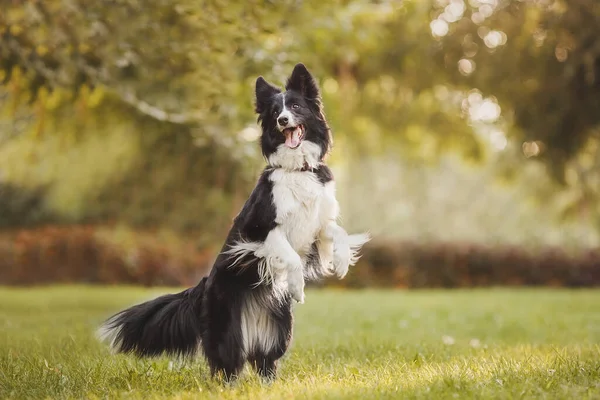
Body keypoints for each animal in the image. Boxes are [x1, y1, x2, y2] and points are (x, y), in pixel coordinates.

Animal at [98, 63, 370, 382]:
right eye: (274, 111)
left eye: (295, 106)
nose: (282, 120)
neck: (297, 169)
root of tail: (202, 288)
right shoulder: (259, 229)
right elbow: (289, 256)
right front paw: (298, 287)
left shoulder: (316, 224)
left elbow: (338, 232)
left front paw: (340, 263)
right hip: (227, 328)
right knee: (226, 363)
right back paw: (229, 384)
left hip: (279, 327)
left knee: (264, 359)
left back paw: (269, 384)